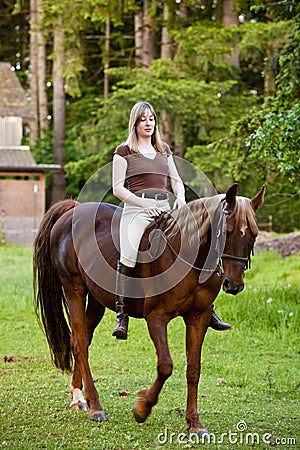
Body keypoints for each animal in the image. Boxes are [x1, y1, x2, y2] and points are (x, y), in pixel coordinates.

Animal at [32, 182, 264, 436]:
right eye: (227, 230)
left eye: (254, 234)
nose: (234, 285)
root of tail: (74, 209)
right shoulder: (156, 317)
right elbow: (165, 365)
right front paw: (142, 409)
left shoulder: (198, 317)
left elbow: (194, 369)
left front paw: (194, 423)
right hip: (74, 288)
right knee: (81, 342)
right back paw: (95, 406)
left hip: (96, 298)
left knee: (81, 339)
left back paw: (78, 397)